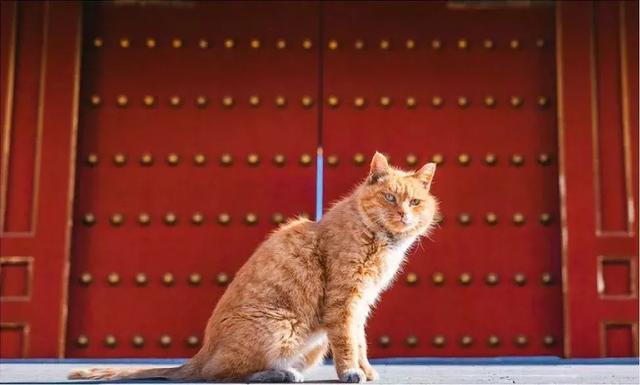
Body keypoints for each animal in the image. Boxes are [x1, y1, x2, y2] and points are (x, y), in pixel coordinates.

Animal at [71, 152, 440, 382]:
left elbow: (359, 340)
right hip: (284, 326)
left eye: (415, 202)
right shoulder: (344, 300)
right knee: (219, 374)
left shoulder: (362, 303)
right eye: (390, 198)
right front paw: (352, 372)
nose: (403, 214)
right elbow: (348, 341)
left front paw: (366, 369)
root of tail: (199, 354)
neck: (379, 239)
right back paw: (283, 374)